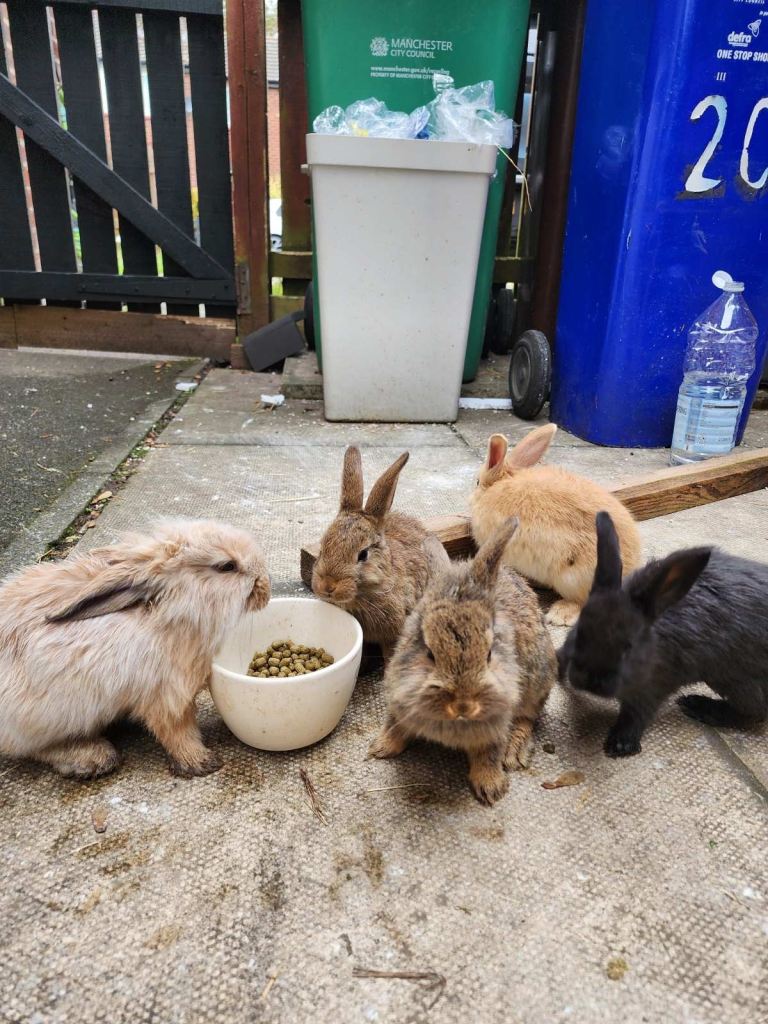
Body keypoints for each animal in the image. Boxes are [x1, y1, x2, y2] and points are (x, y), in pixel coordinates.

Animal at [0, 519, 270, 779]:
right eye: (227, 566)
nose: (266, 587)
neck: (172, 612)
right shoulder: (166, 697)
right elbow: (178, 732)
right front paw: (201, 763)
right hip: (36, 720)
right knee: (29, 748)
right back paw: (92, 758)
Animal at [369, 518, 557, 806]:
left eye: (489, 653)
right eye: (429, 652)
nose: (463, 704)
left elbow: (489, 750)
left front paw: (491, 787)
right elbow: (395, 725)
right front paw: (380, 748)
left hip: (538, 680)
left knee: (528, 717)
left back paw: (513, 754)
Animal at [557, 511, 768, 758]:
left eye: (628, 646)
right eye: (581, 632)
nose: (592, 682)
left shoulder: (655, 685)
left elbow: (637, 714)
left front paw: (620, 744)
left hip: (734, 679)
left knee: (754, 712)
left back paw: (700, 706)